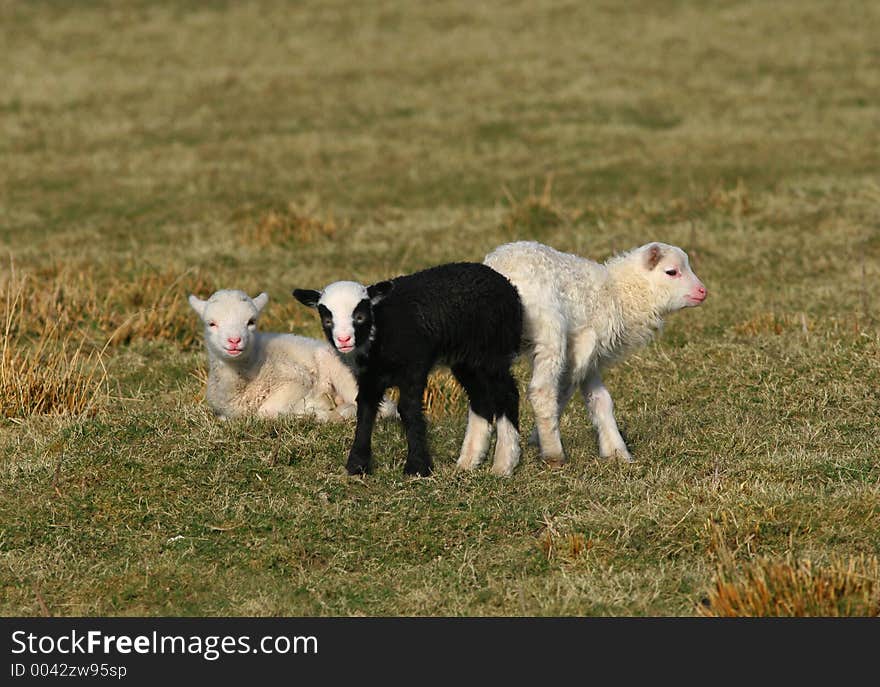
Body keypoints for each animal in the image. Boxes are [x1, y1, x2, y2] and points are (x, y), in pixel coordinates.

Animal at [190, 288, 398, 422]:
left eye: (251, 322)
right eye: (211, 324)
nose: (234, 340)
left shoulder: (296, 380)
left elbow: (266, 411)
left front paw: (311, 409)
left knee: (384, 408)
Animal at [292, 264, 524, 478]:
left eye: (359, 316)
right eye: (327, 320)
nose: (343, 340)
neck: (379, 332)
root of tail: (504, 283)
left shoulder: (414, 367)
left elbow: (408, 409)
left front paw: (417, 467)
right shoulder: (368, 377)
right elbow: (365, 410)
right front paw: (357, 465)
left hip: (493, 351)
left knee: (507, 394)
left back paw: (504, 463)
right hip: (466, 359)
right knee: (481, 398)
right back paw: (469, 460)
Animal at [484, 239, 704, 464]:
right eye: (671, 272)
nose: (702, 291)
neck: (619, 295)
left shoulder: (591, 359)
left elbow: (601, 400)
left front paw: (616, 452)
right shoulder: (582, 345)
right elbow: (563, 392)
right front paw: (536, 439)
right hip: (549, 333)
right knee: (541, 392)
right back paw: (553, 454)